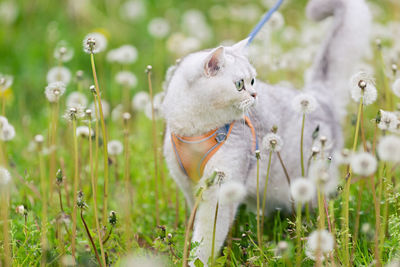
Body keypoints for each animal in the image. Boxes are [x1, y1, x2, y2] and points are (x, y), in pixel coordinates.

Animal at [161, 0, 370, 264]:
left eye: (252, 81)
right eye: (240, 84)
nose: (254, 94)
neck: (195, 129)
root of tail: (316, 95)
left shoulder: (219, 193)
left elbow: (207, 240)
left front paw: (196, 262)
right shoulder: (189, 186)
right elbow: (194, 227)